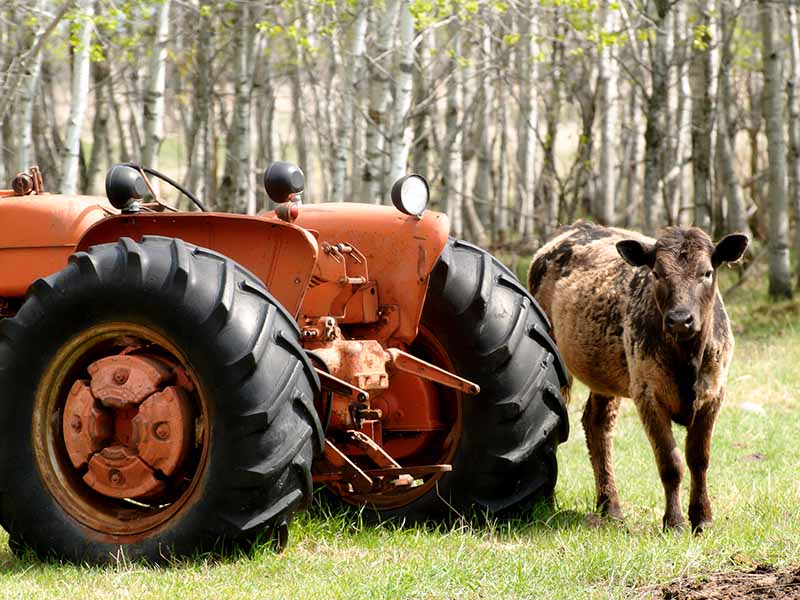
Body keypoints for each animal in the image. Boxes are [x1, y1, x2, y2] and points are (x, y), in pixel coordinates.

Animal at [527, 221, 748, 532]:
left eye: (706, 272)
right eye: (657, 273)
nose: (680, 319)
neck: (688, 359)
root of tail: (577, 227)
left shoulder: (714, 394)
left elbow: (699, 459)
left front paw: (702, 518)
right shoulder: (647, 394)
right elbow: (671, 462)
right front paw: (674, 521)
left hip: (604, 374)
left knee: (597, 423)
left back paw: (610, 505)